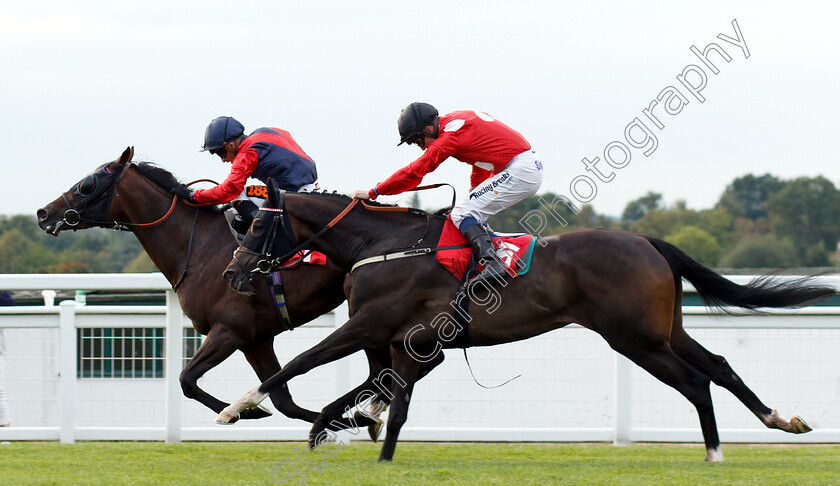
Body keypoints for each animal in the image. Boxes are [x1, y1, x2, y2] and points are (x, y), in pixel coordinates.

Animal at [36, 146, 370, 428]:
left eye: (87, 184)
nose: (43, 213)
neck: (196, 246)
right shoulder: (256, 340)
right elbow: (283, 400)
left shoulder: (228, 330)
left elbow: (186, 379)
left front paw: (244, 412)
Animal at [220, 180, 836, 462]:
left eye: (256, 226)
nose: (233, 272)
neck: (382, 245)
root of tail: (646, 240)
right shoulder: (406, 342)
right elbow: (386, 401)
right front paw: (361, 438)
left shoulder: (372, 326)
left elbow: (301, 363)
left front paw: (237, 406)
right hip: (665, 330)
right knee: (720, 365)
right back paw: (782, 419)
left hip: (634, 338)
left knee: (695, 381)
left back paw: (714, 452)